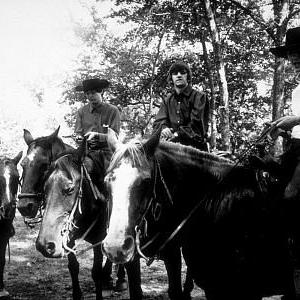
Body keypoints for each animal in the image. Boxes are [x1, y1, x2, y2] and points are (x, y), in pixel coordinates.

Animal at [34, 143, 142, 300]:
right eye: (45, 189)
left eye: (70, 189)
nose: (44, 245)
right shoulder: (69, 237)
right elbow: (73, 267)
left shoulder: (99, 238)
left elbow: (96, 272)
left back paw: (119, 280)